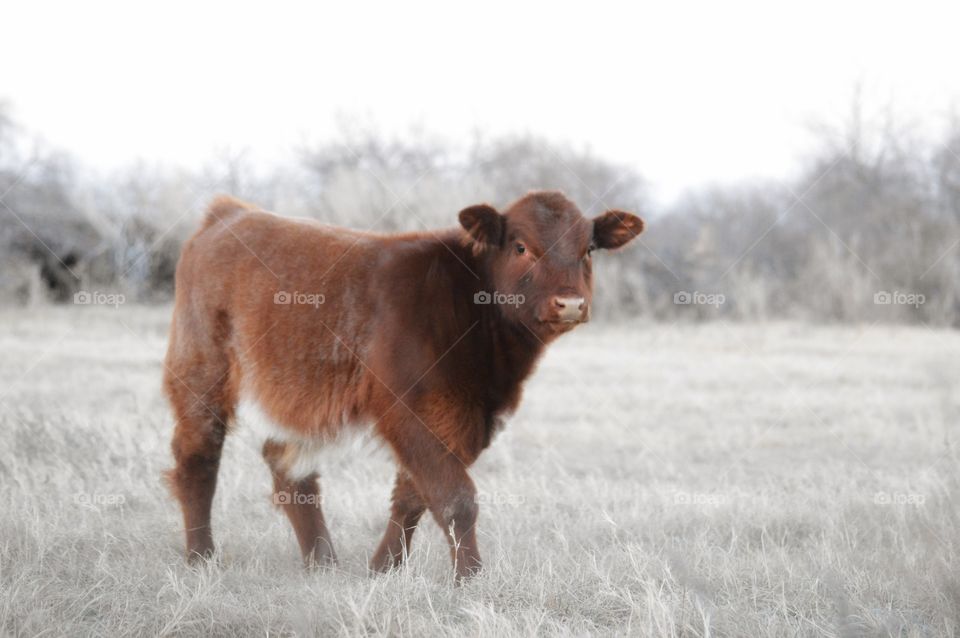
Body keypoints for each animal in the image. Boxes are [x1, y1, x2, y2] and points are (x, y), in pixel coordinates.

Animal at [165, 191, 644, 584]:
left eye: (588, 249)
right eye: (522, 246)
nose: (571, 303)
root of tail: (231, 213)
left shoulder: (461, 419)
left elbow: (413, 496)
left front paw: (384, 568)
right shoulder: (406, 410)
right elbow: (456, 498)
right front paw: (470, 579)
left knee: (288, 465)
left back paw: (321, 561)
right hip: (200, 373)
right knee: (198, 459)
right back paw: (201, 558)